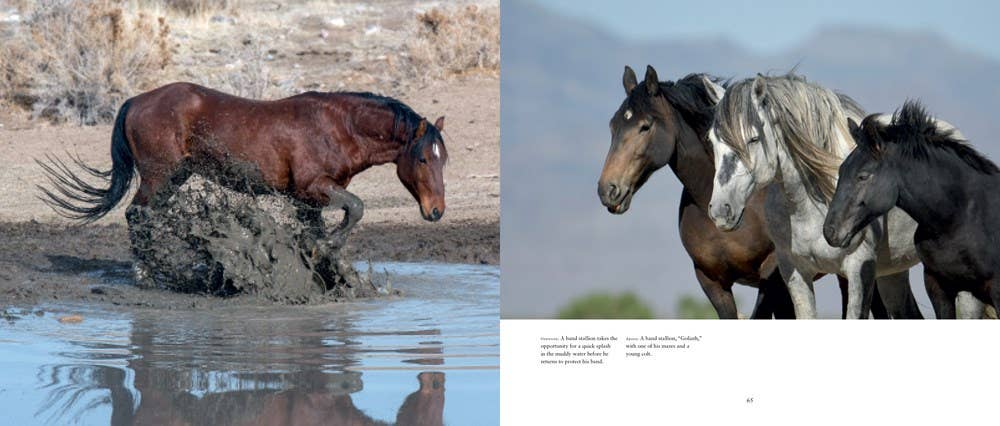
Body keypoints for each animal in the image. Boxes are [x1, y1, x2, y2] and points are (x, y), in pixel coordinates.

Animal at [37, 82, 449, 247]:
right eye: (423, 158)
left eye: (444, 159)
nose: (437, 211)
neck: (338, 126)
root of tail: (135, 101)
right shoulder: (312, 187)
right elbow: (357, 208)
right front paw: (329, 245)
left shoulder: (309, 201)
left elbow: (332, 221)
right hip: (157, 177)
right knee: (137, 217)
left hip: (174, 178)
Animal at [706, 73, 927, 319]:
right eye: (711, 141)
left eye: (754, 139)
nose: (720, 210)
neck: (811, 206)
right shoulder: (795, 271)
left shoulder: (860, 268)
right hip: (893, 272)